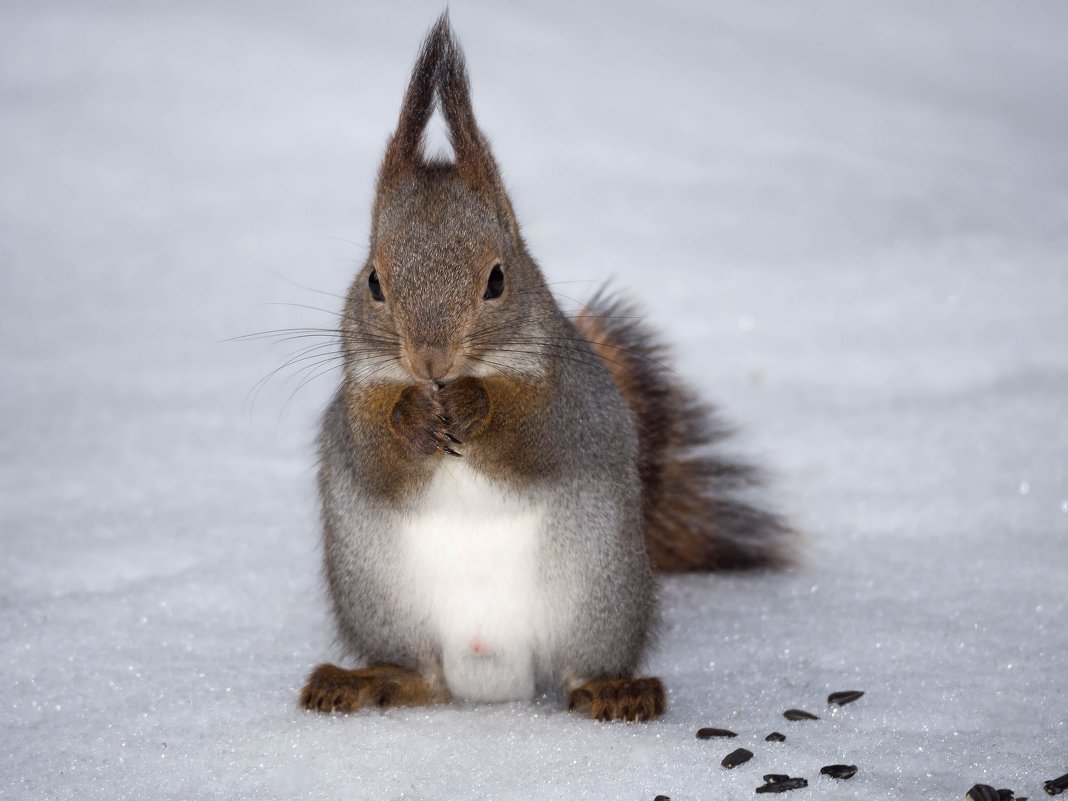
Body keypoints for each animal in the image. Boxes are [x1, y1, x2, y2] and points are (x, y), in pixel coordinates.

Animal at [296, 15, 790, 726]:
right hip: (382, 598)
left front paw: (474, 406)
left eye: (499, 280)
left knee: (577, 671)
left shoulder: (572, 401)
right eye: (373, 282)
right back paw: (363, 681)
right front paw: (413, 416)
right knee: (424, 678)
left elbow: (535, 436)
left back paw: (615, 690)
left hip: (593, 595)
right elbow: (375, 455)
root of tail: (493, 676)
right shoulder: (352, 411)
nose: (430, 360)